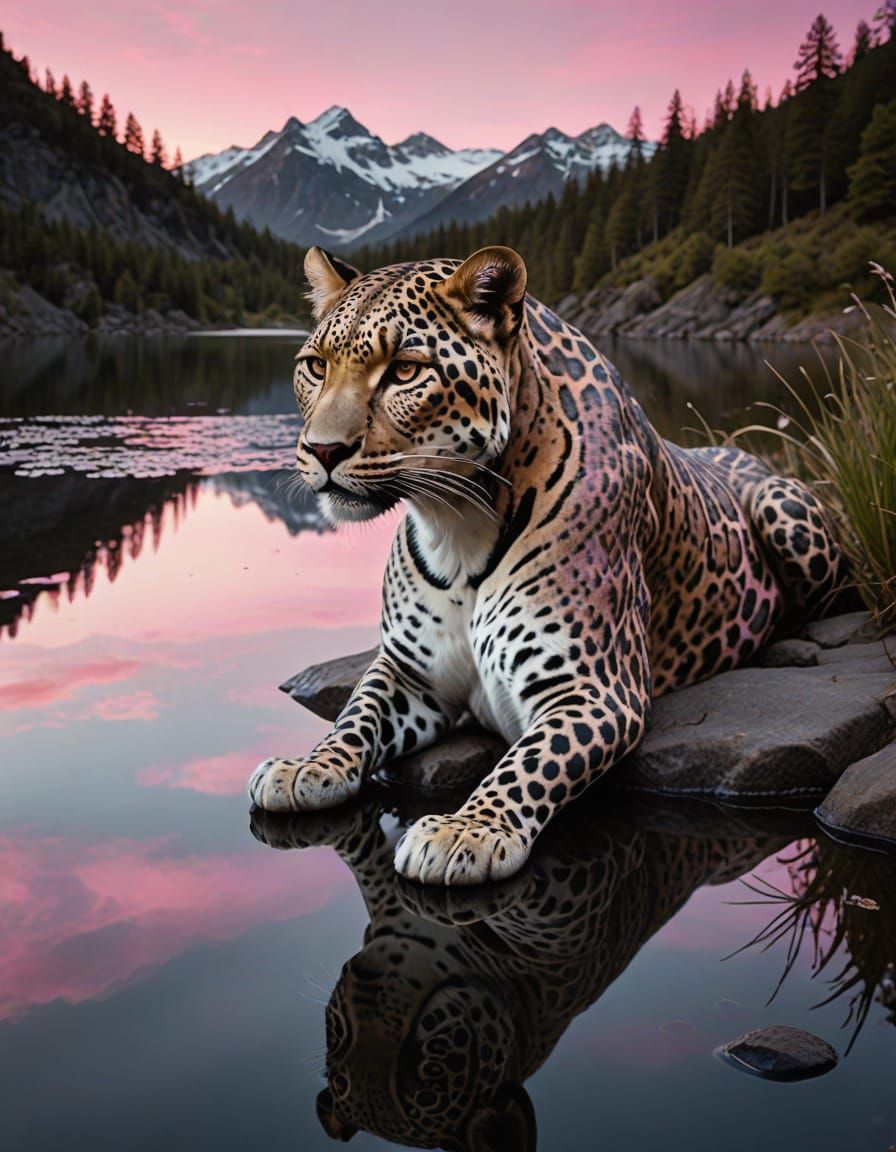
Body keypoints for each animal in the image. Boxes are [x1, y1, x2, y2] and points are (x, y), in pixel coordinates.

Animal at [248, 244, 847, 885]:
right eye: (315, 366)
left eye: (405, 371)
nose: (322, 450)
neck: (456, 524)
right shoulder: (410, 673)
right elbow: (355, 714)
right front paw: (307, 766)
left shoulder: (593, 689)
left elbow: (530, 762)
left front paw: (467, 831)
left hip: (784, 509)